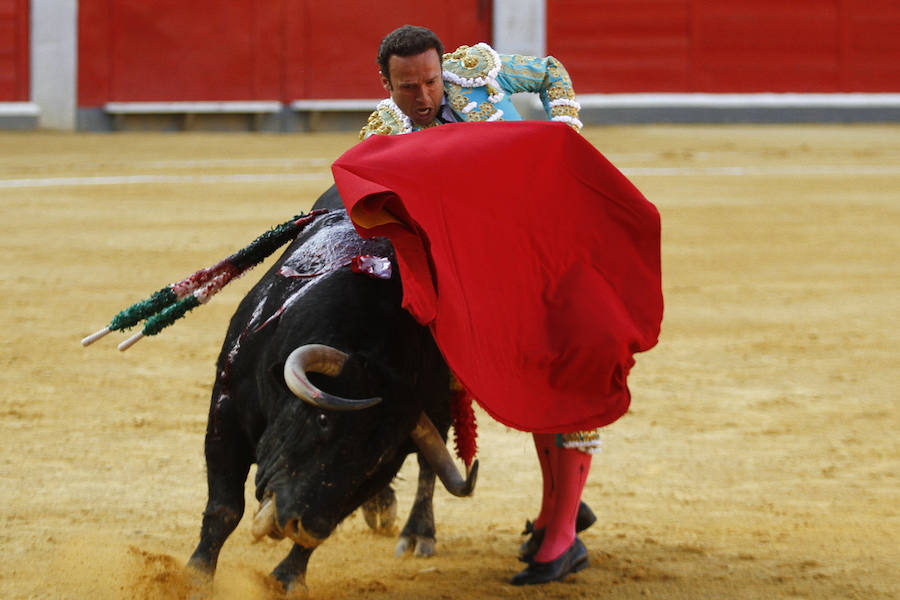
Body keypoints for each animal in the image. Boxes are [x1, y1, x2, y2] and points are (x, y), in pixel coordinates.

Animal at [185, 189, 478, 596]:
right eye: (323, 420)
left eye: (377, 455)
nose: (299, 525)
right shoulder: (226, 409)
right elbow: (225, 508)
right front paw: (197, 577)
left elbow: (331, 519)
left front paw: (288, 577)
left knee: (427, 468)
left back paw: (417, 534)